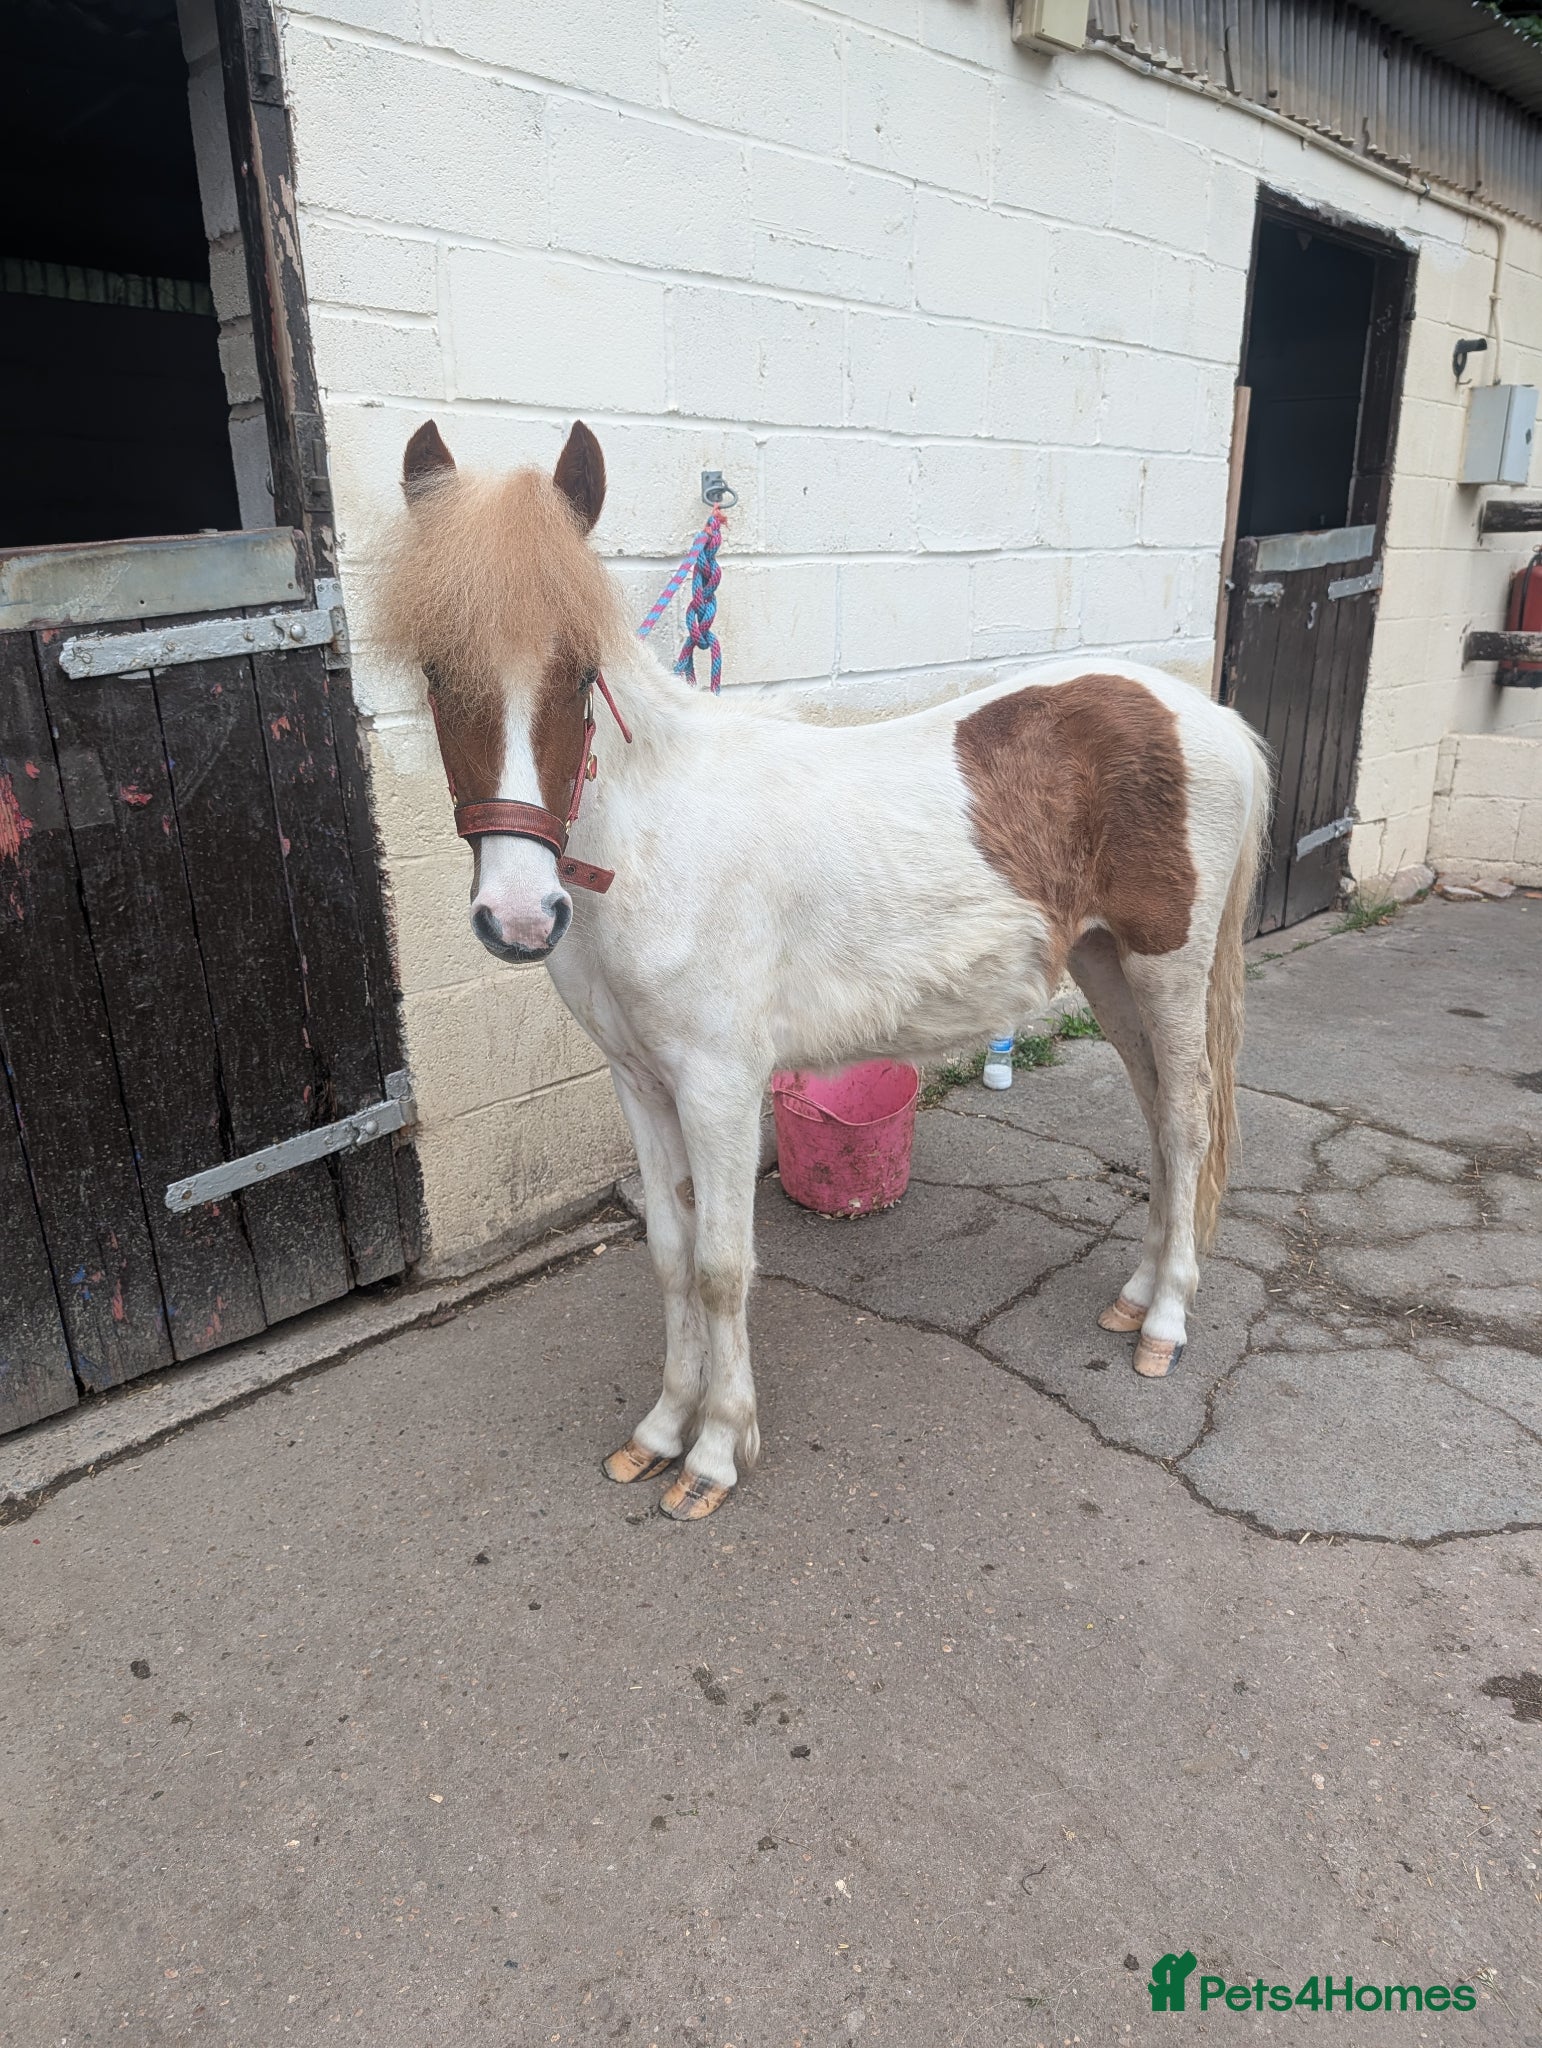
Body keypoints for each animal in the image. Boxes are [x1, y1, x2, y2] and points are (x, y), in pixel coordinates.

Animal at [378, 419, 1271, 1521]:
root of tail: (1208, 718)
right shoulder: (640, 1081)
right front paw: (659, 1432)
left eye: (579, 673)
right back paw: (1136, 1295)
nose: (517, 916)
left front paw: (715, 1455)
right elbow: (669, 1253)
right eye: (435, 670)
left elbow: (722, 1265)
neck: (648, 844)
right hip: (1107, 967)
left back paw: (1166, 1325)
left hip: (1167, 966)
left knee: (1187, 1125)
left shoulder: (719, 1084)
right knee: (1154, 1121)